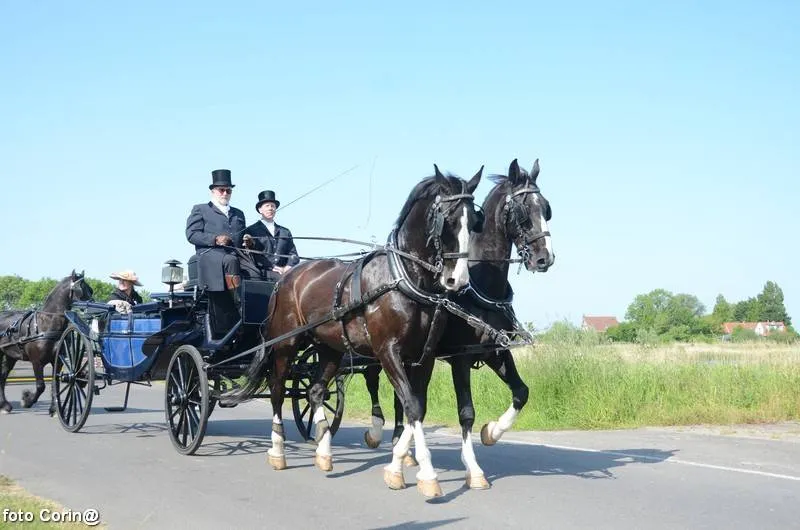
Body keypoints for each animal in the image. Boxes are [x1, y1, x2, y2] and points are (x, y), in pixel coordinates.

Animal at [0, 270, 94, 415]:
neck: (47, 324)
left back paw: (5, 405)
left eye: (90, 289)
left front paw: (54, 409)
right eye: (81, 288)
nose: (95, 304)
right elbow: (41, 386)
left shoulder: (58, 361)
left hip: (11, 356)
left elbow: (55, 384)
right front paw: (27, 400)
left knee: (3, 377)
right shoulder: (36, 362)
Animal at [223, 166, 484, 497]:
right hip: (286, 344)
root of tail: (286, 277)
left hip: (329, 348)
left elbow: (416, 407)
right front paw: (426, 473)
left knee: (315, 390)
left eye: (474, 221)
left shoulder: (423, 357)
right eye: (446, 218)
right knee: (278, 389)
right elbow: (411, 405)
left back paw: (323, 451)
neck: (403, 279)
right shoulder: (388, 352)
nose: (457, 280)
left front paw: (399, 464)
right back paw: (278, 451)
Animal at [361, 158, 555, 489]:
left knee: (404, 399)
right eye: (522, 211)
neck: (480, 286)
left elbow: (521, 392)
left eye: (546, 208)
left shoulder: (495, 351)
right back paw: (379, 436)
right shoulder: (460, 358)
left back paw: (403, 450)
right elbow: (465, 412)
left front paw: (492, 432)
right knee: (377, 383)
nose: (545, 258)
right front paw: (473, 469)